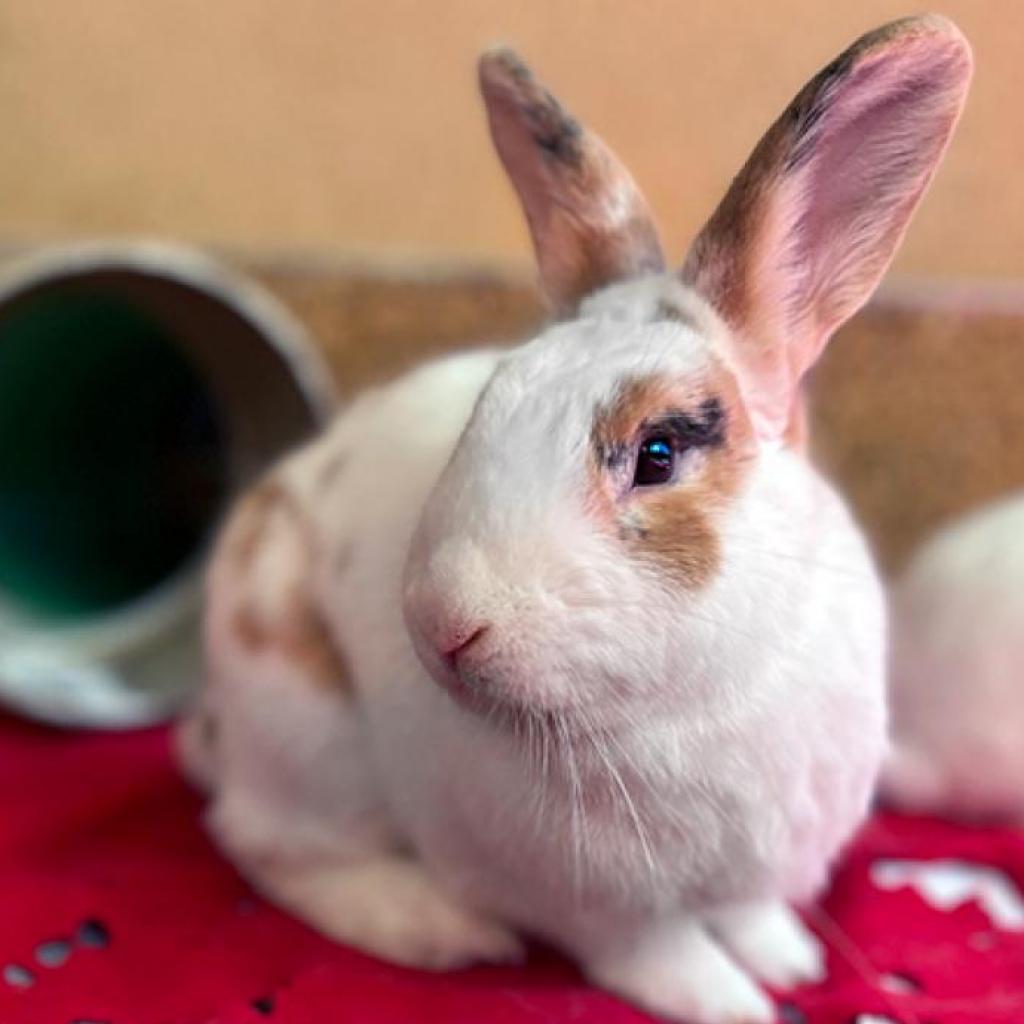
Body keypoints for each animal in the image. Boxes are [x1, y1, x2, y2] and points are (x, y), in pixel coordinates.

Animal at [180, 18, 970, 1024]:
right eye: (486, 406)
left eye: (658, 453)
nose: (443, 626)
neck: (697, 700)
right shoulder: (601, 909)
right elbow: (662, 955)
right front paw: (737, 1005)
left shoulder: (760, 866)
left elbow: (750, 916)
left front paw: (789, 964)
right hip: (306, 734)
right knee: (269, 845)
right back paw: (436, 927)